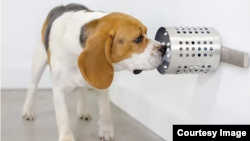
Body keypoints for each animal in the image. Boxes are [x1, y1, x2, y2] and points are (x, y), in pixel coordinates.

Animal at [22, 2, 166, 141]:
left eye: (146, 33)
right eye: (138, 38)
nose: (164, 48)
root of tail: (63, 5)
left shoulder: (101, 85)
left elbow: (105, 111)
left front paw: (106, 131)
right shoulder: (59, 90)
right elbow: (63, 118)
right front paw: (66, 137)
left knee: (81, 91)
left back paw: (83, 111)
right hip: (38, 60)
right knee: (32, 87)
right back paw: (28, 111)